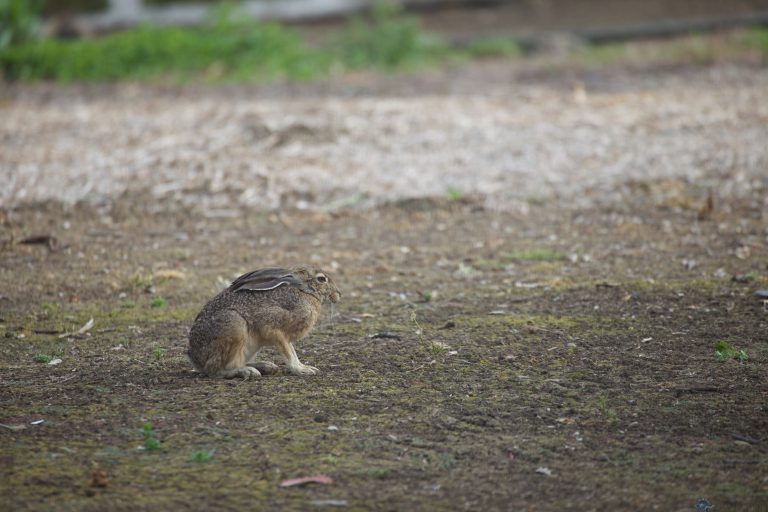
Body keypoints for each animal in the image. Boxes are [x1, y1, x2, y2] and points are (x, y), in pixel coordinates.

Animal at [188, 265, 340, 379]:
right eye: (322, 279)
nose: (338, 294)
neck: (305, 291)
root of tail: (195, 359)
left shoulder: (286, 336)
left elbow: (292, 351)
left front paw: (305, 367)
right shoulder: (273, 328)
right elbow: (288, 353)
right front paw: (301, 370)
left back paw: (266, 366)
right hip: (234, 325)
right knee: (215, 370)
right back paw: (247, 371)